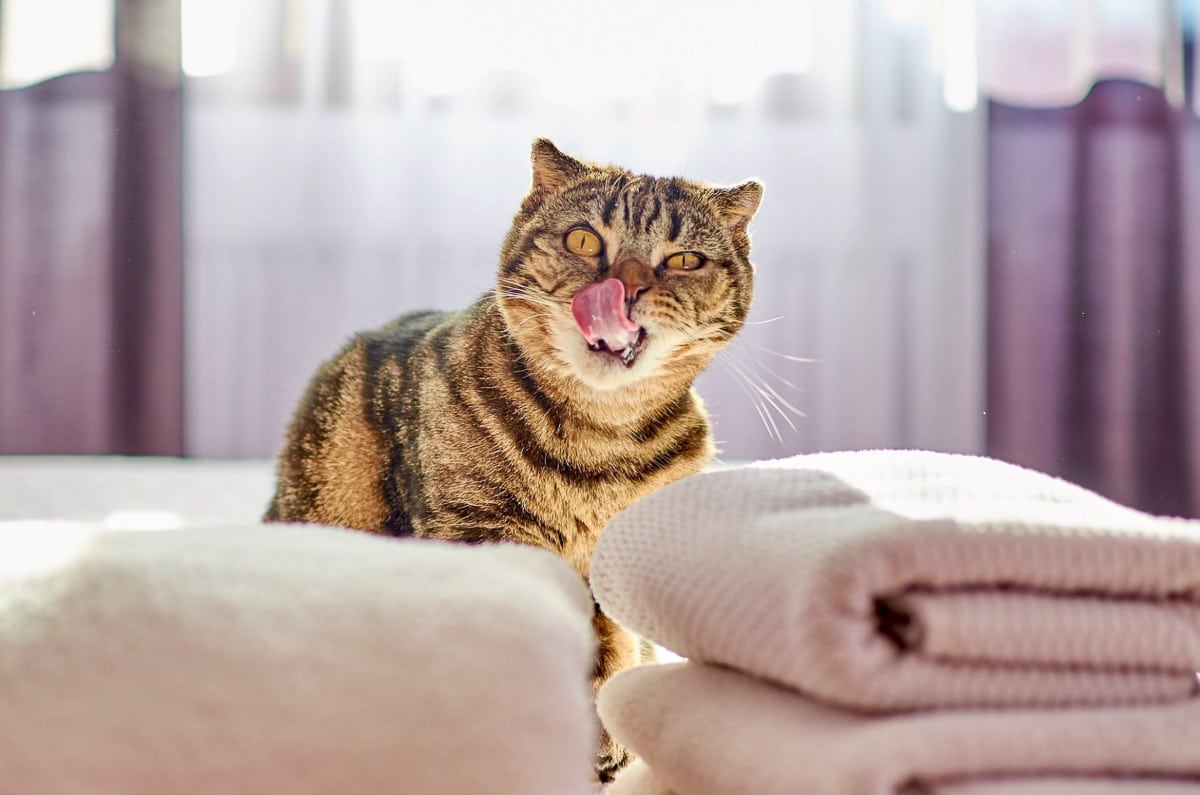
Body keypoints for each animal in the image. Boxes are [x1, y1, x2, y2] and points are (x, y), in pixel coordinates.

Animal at [267, 138, 763, 782]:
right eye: (583, 240)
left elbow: (617, 642)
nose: (625, 290)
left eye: (683, 260)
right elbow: (581, 640)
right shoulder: (482, 531)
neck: (603, 440)